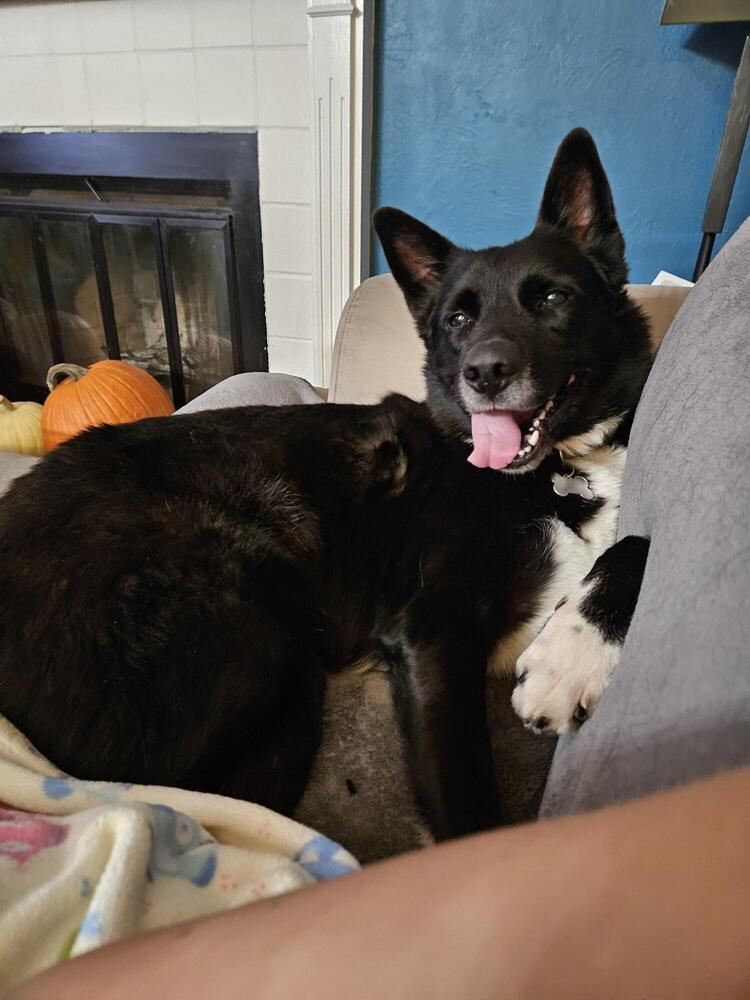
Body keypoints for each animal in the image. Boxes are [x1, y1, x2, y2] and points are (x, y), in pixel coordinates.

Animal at [0, 127, 656, 844]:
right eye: (458, 321)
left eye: (553, 299)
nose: (483, 374)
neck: (558, 470)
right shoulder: (431, 630)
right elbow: (471, 816)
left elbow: (642, 543)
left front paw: (574, 652)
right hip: (263, 635)